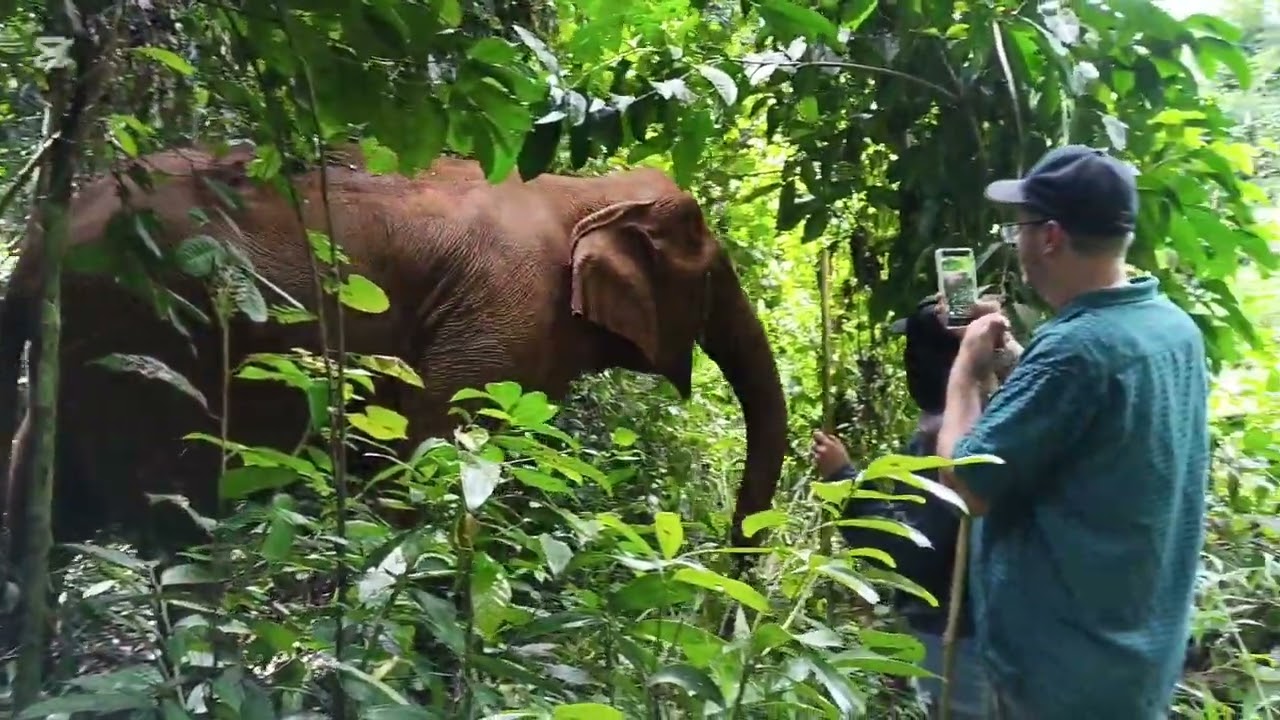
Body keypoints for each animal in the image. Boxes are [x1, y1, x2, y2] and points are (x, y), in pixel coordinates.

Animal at [0, 143, 788, 578]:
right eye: (713, 277)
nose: (725, 603)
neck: (582, 190)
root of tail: (34, 248)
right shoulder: (500, 310)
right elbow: (437, 450)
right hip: (146, 327)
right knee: (173, 505)